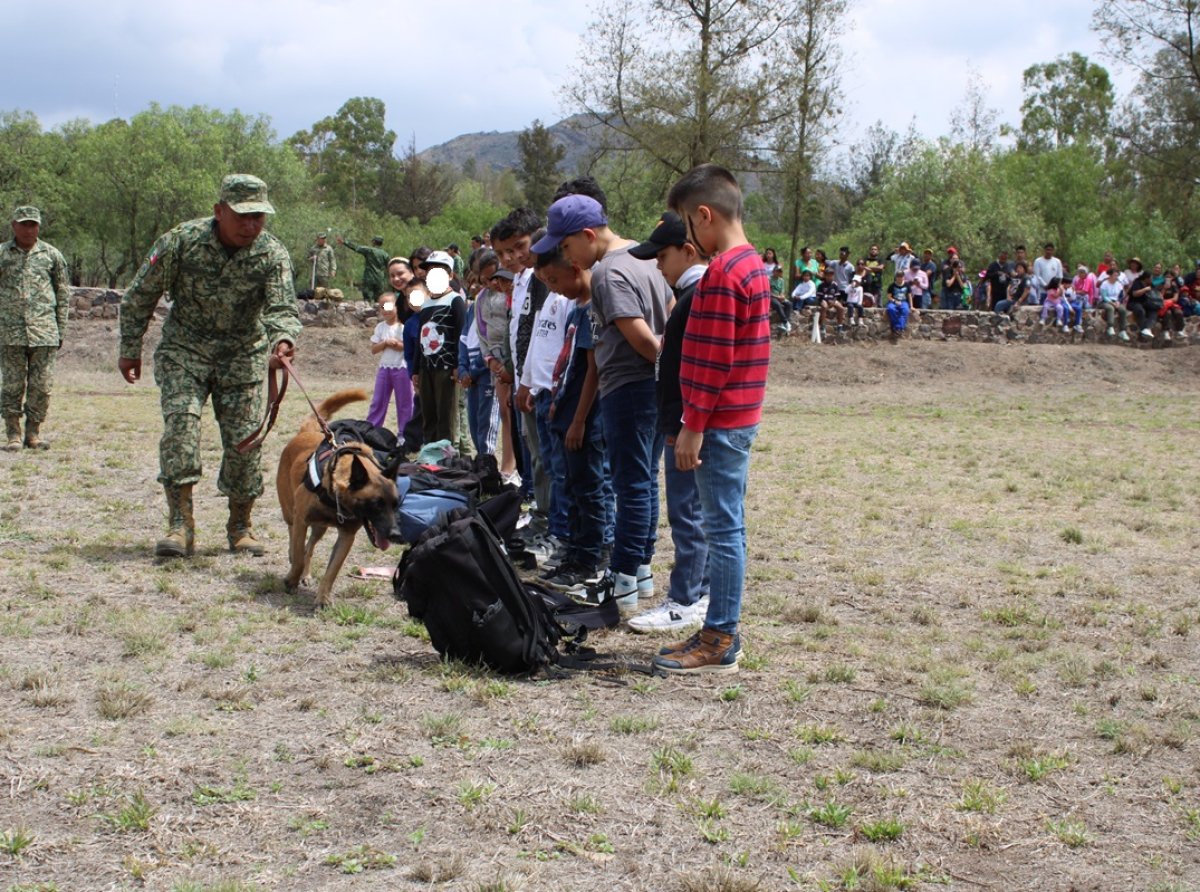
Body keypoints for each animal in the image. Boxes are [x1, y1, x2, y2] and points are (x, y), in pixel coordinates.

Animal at [274, 388, 398, 607]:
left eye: (396, 505)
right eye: (376, 504)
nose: (394, 534)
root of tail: (305, 432)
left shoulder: (346, 536)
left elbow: (332, 570)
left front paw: (323, 598)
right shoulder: (301, 520)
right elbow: (298, 557)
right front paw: (291, 580)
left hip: (319, 528)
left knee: (309, 547)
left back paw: (306, 574)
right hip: (290, 511)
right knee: (294, 537)